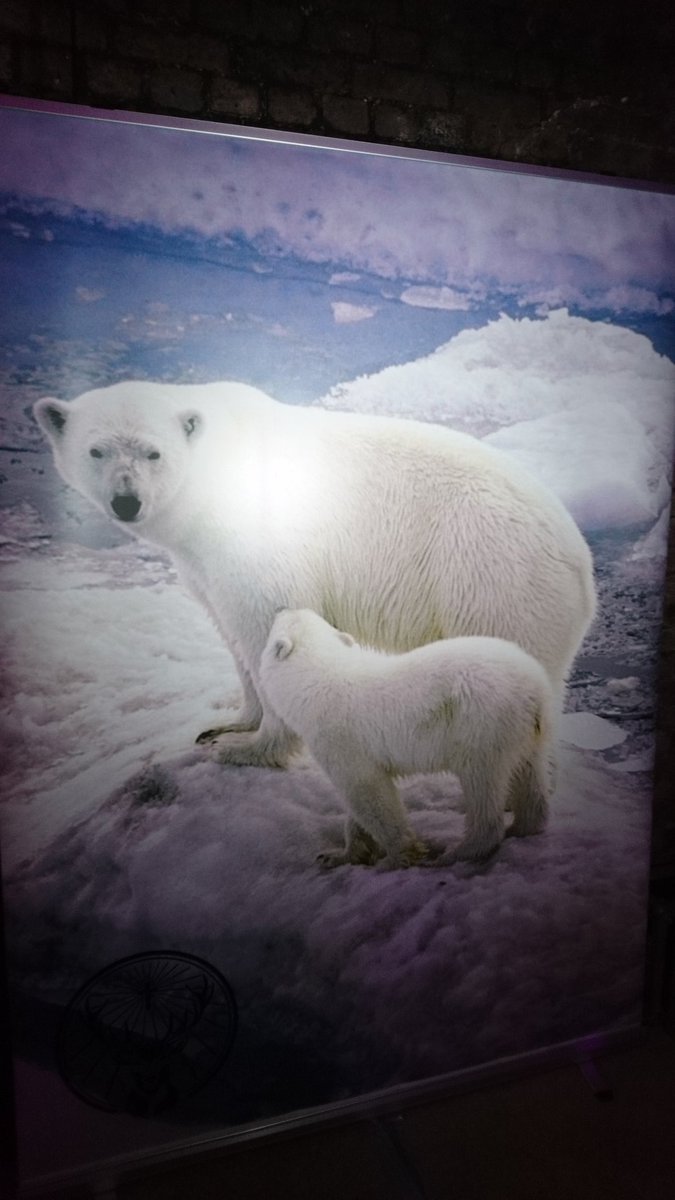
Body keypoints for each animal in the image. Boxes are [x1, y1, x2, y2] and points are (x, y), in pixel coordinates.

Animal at [33, 380, 595, 774]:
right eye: (96, 450)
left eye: (154, 452)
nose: (126, 501)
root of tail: (581, 563)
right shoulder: (202, 561)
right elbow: (229, 629)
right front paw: (227, 725)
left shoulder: (260, 538)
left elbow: (265, 622)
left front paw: (249, 749)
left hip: (492, 582)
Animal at [260, 608, 555, 867]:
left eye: (282, 618)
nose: (280, 607)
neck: (321, 678)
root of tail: (535, 686)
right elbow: (360, 803)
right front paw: (337, 856)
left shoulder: (339, 737)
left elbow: (368, 793)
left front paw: (397, 857)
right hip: (524, 730)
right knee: (528, 773)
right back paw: (522, 826)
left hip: (481, 720)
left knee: (481, 780)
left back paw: (457, 852)